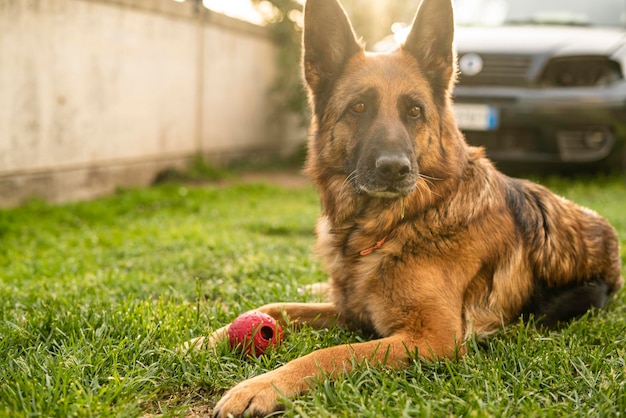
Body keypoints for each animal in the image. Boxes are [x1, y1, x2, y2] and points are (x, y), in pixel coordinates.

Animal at [204, 0, 620, 414]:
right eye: (358, 107)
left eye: (415, 111)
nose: (394, 169)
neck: (396, 224)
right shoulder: (352, 310)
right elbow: (276, 307)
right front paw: (204, 341)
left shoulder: (432, 338)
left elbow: (333, 353)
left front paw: (261, 386)